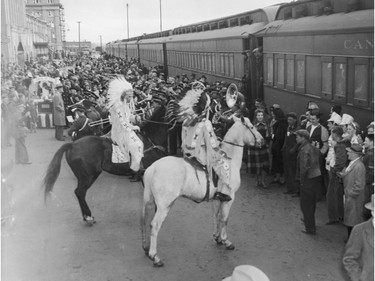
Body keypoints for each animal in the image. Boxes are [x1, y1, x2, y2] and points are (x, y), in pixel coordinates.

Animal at [142, 115, 264, 264]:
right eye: (252, 127)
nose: (262, 140)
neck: (230, 162)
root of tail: (152, 168)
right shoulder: (230, 197)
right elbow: (225, 218)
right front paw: (226, 241)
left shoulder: (218, 198)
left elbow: (217, 216)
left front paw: (217, 237)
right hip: (165, 205)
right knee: (154, 225)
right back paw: (155, 256)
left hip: (150, 201)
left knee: (146, 220)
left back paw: (146, 248)